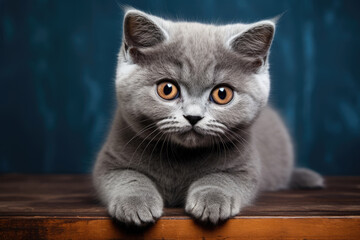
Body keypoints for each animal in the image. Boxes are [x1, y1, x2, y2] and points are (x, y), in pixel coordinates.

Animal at [92, 7, 324, 225]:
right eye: (167, 89)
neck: (181, 157)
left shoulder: (246, 168)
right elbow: (128, 177)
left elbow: (221, 179)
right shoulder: (110, 160)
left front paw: (212, 202)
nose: (193, 116)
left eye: (222, 94)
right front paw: (136, 204)